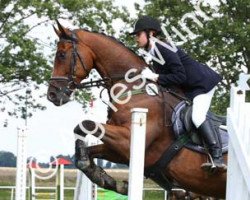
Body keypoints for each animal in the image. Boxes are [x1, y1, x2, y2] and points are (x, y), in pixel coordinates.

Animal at [46, 20, 228, 198]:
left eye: (61, 55)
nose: (52, 95)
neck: (134, 88)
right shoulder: (120, 151)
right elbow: (89, 148)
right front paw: (106, 179)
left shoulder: (127, 140)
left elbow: (85, 124)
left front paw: (88, 163)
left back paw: (216, 162)